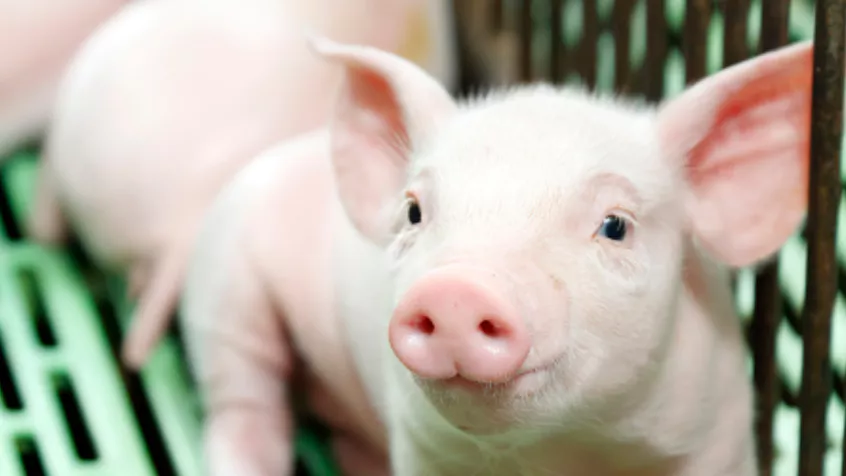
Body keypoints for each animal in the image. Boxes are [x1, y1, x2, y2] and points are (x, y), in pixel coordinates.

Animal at [178, 36, 814, 475]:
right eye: (413, 211)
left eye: (615, 226)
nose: (458, 289)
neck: (562, 455)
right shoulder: (422, 447)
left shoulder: (719, 435)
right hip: (222, 289)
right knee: (243, 407)